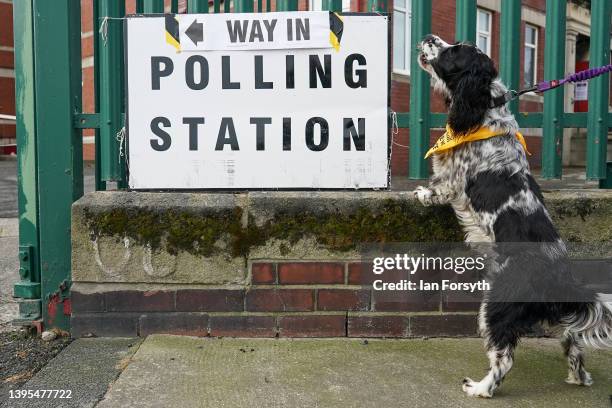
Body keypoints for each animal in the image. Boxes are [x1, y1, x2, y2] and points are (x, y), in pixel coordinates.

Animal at [414, 35, 608, 398]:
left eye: (453, 51)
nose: (430, 38)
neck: (484, 108)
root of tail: (558, 276)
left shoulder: (454, 180)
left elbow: (439, 186)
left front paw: (420, 193)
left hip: (495, 308)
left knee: (503, 358)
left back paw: (479, 388)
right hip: (556, 319)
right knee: (574, 343)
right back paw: (579, 377)